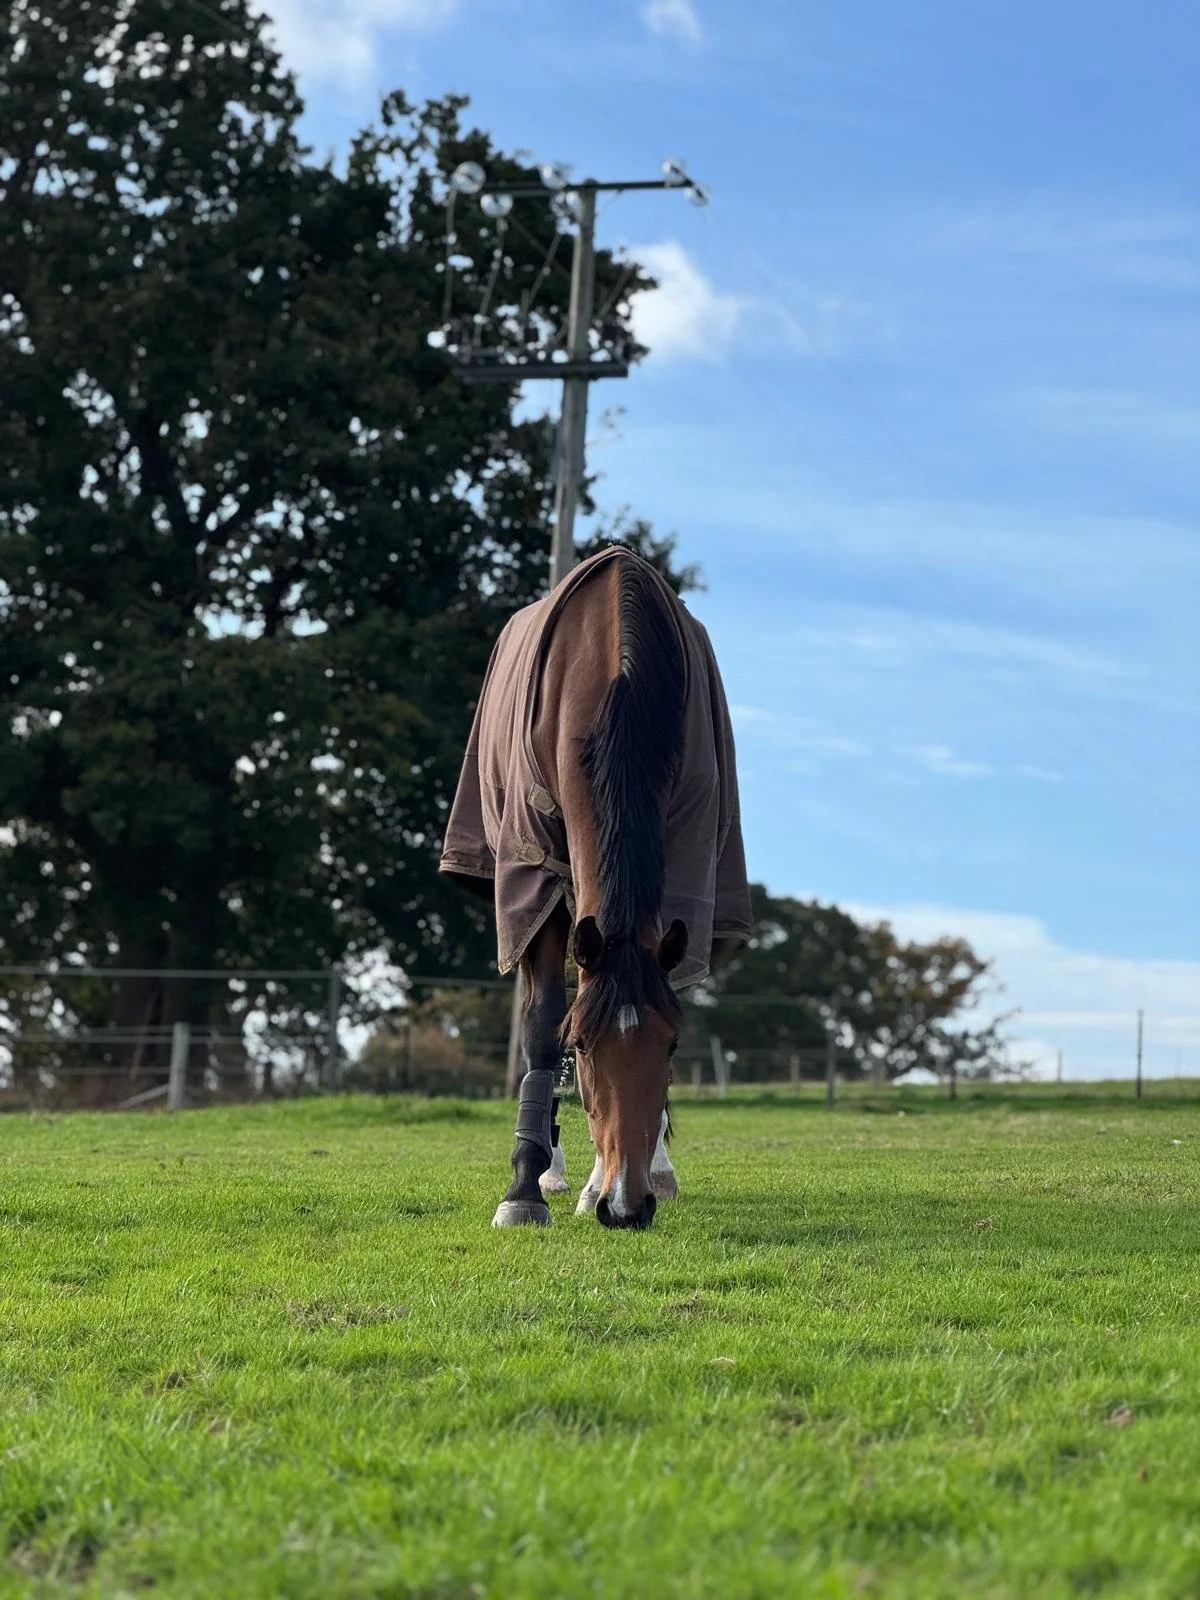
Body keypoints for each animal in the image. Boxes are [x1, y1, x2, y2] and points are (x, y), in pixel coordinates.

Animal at [440, 547, 750, 1229]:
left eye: (671, 1046)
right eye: (580, 1047)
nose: (625, 1206)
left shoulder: (688, 873)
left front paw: (637, 1173)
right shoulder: (534, 875)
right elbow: (540, 1026)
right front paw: (524, 1190)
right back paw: (551, 1169)